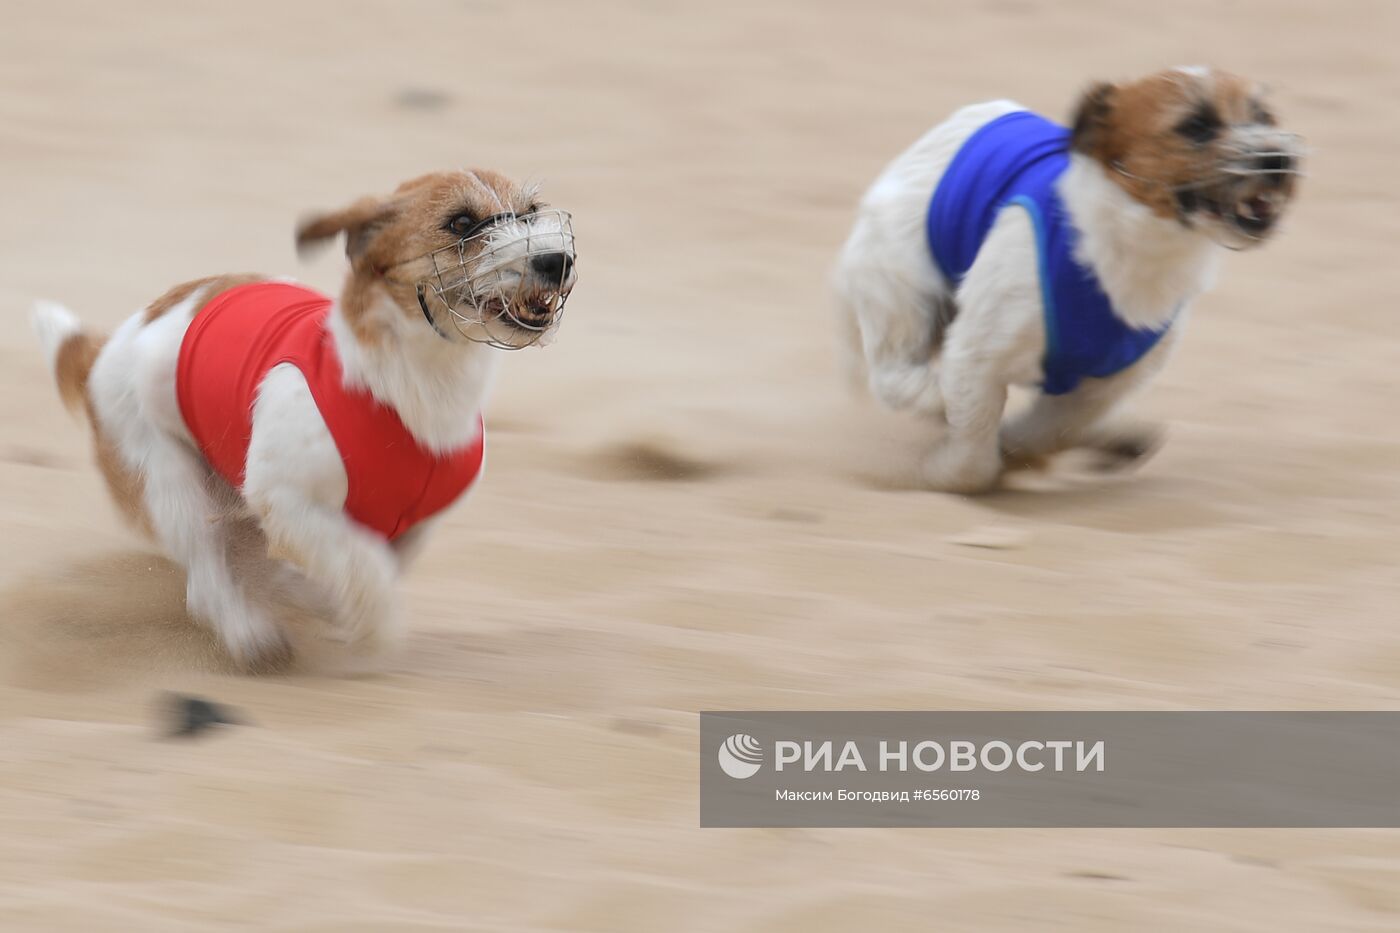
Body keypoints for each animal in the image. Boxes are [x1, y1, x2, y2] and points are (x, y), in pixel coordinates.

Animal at [828, 68, 1299, 490]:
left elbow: (1052, 428)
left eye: (1263, 116)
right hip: (901, 292)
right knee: (894, 374)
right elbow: (973, 455)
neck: (1128, 246)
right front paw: (949, 470)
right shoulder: (978, 353)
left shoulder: (1106, 383)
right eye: (1196, 126)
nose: (1278, 159)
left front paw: (1021, 450)